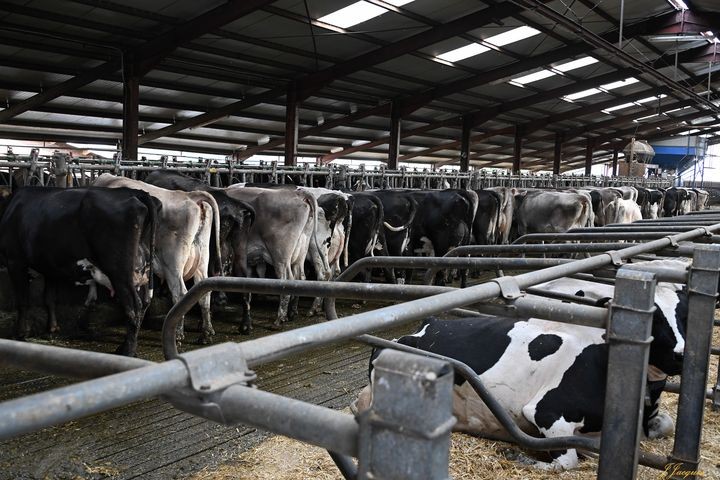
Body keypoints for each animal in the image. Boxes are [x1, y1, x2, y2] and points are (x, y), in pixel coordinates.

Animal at [0, 188, 159, 356]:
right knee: (145, 302)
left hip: (120, 271)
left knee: (134, 307)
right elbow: (49, 298)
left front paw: (20, 333)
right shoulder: (49, 267)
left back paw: (127, 351)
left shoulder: (15, 261)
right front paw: (52, 329)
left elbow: (23, 301)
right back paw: (124, 347)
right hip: (142, 270)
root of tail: (135, 192)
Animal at [352, 276, 688, 470]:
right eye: (655, 319)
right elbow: (567, 461)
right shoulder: (547, 412)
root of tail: (425, 326)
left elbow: (667, 424)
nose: (680, 354)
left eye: (685, 315)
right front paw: (521, 457)